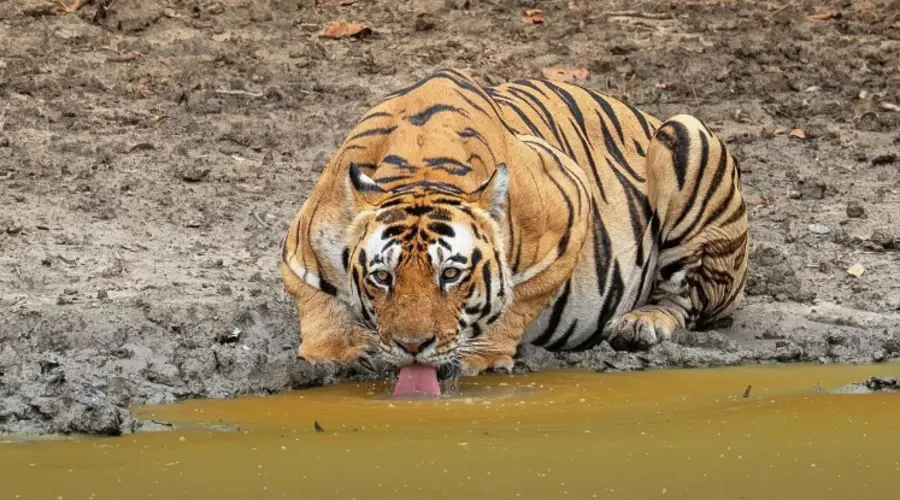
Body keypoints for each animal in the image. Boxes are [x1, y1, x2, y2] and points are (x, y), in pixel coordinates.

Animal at [280, 68, 748, 379]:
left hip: (687, 134)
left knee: (684, 299)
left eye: (450, 274)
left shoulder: (571, 206)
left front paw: (481, 355)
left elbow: (519, 299)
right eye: (382, 276)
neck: (419, 168)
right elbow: (313, 298)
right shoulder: (299, 245)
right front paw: (335, 352)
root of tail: (648, 113)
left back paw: (639, 324)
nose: (412, 347)